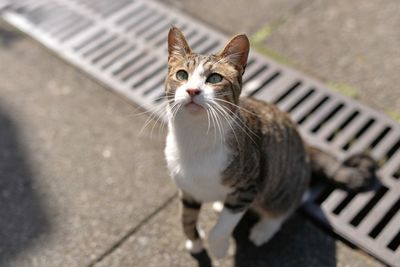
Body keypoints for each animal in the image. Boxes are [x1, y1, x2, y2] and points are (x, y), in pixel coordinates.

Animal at [162, 26, 376, 260]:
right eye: (182, 75)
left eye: (215, 78)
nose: (192, 91)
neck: (195, 135)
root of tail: (306, 147)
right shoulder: (187, 189)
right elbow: (186, 218)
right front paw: (194, 241)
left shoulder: (248, 186)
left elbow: (223, 226)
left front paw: (218, 248)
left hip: (281, 187)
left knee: (283, 207)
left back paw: (264, 229)